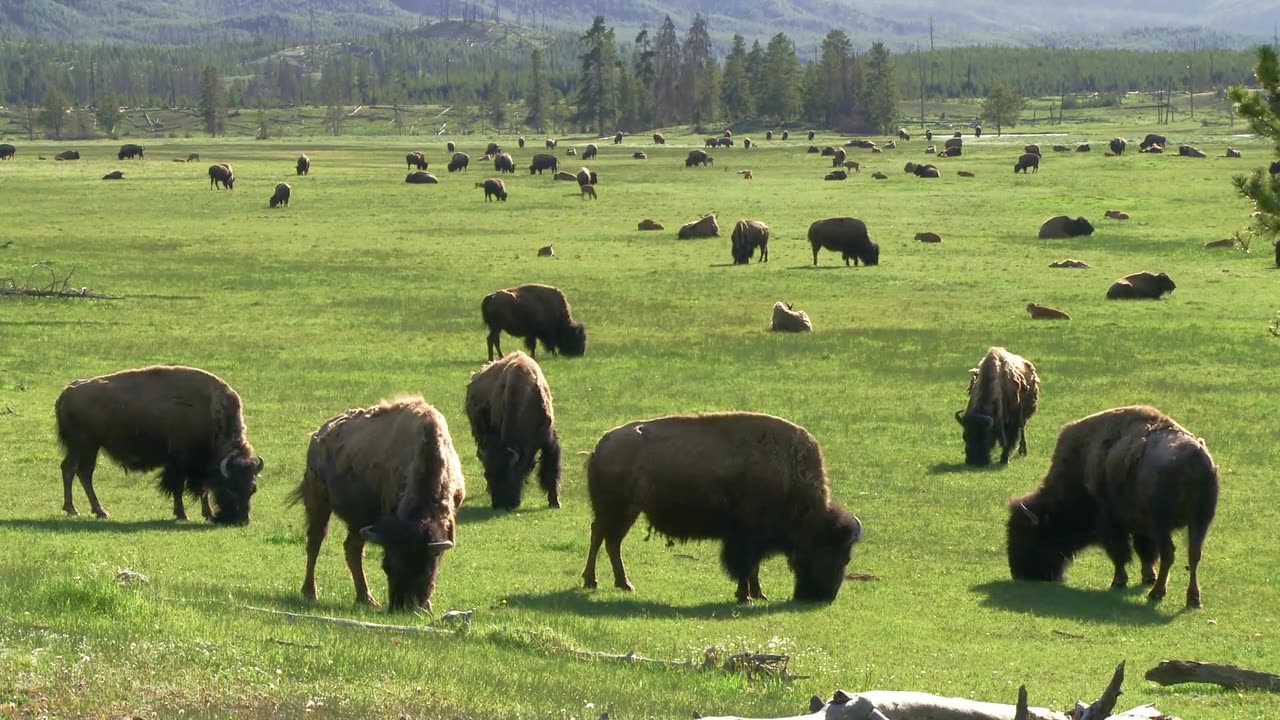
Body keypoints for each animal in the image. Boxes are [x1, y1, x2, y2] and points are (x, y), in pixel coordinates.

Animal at [55, 363, 262, 520]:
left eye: (253, 489)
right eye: (231, 488)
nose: (241, 520)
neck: (211, 411)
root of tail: (67, 391)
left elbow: (202, 489)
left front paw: (207, 514)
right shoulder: (180, 462)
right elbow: (179, 487)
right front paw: (182, 514)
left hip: (84, 446)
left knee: (73, 470)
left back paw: (78, 509)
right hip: (87, 445)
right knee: (81, 472)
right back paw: (93, 511)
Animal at [293, 394, 468, 607]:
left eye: (425, 569)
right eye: (387, 566)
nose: (401, 606)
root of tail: (318, 435)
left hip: (358, 520)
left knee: (351, 549)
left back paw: (366, 599)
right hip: (319, 502)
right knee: (315, 542)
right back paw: (310, 592)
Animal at [463, 348, 558, 507]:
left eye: (509, 474)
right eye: (487, 475)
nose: (501, 505)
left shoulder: (548, 438)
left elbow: (551, 469)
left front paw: (555, 502)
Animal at [581, 412, 860, 602]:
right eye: (841, 555)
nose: (825, 596)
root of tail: (601, 444)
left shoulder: (754, 539)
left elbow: (754, 567)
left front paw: (759, 595)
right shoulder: (745, 538)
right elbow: (746, 567)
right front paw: (745, 596)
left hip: (628, 511)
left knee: (612, 542)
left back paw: (624, 584)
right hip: (612, 509)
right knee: (598, 536)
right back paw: (591, 581)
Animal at [1003, 407, 1213, 602]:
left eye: (1025, 534)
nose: (1018, 573)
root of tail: (1193, 457)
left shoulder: (1111, 523)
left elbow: (1120, 553)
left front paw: (1118, 582)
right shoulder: (1138, 528)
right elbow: (1143, 552)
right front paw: (1147, 578)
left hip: (1162, 525)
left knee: (1169, 553)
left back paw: (1157, 593)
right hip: (1199, 522)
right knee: (1194, 554)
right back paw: (1192, 599)